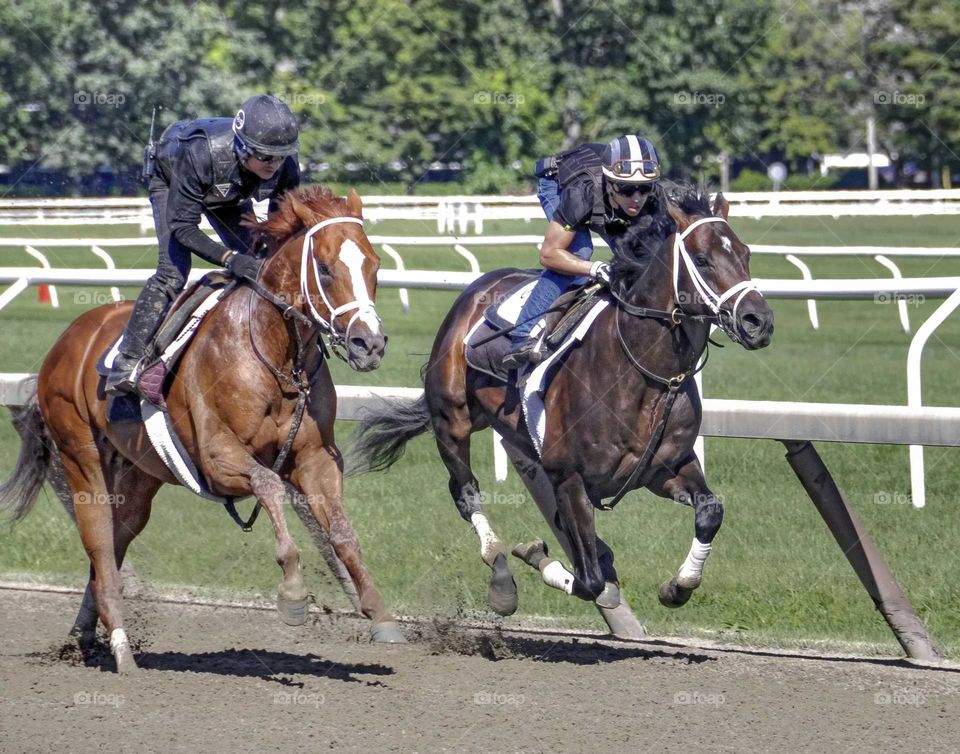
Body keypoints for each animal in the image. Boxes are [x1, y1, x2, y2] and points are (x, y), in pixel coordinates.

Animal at [0, 185, 404, 668]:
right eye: (324, 269)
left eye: (374, 265)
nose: (369, 344)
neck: (273, 354)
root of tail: (66, 339)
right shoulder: (216, 459)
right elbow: (268, 484)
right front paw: (292, 593)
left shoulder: (315, 459)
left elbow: (343, 534)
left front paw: (379, 613)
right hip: (80, 455)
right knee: (98, 541)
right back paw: (121, 649)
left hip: (141, 473)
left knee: (115, 544)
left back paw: (85, 632)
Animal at [344, 187, 772, 624]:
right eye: (702, 258)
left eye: (745, 253)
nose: (758, 321)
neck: (644, 373)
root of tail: (476, 290)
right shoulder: (571, 479)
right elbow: (590, 582)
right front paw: (537, 556)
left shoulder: (665, 468)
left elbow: (710, 511)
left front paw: (678, 586)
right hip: (452, 419)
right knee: (465, 492)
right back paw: (500, 575)